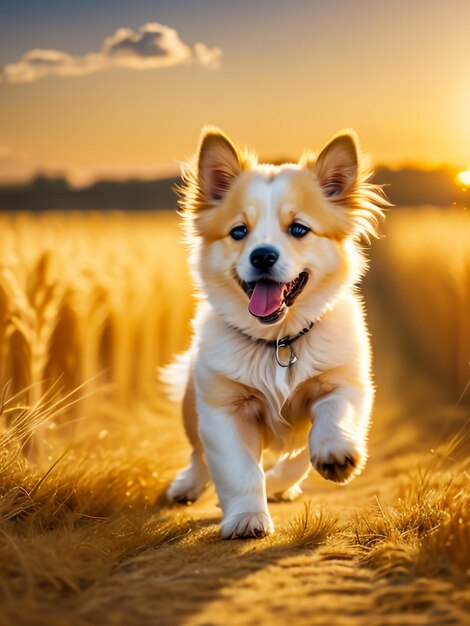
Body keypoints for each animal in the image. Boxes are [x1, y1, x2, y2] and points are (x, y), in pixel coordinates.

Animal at [165, 125, 386, 536]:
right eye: (239, 232)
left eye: (298, 229)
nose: (263, 255)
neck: (278, 341)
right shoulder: (223, 409)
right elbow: (239, 472)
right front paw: (246, 518)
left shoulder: (345, 384)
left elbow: (326, 426)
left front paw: (334, 456)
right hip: (192, 404)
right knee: (198, 455)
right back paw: (187, 485)